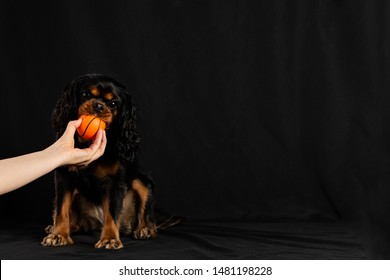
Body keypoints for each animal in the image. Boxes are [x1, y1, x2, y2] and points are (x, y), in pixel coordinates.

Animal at [42, 73, 157, 248]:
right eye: (86, 94)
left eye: (113, 103)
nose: (98, 106)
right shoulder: (64, 176)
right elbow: (62, 209)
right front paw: (59, 235)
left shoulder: (115, 182)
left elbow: (111, 212)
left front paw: (109, 238)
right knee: (77, 223)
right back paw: (56, 228)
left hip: (142, 181)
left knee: (147, 216)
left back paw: (145, 230)